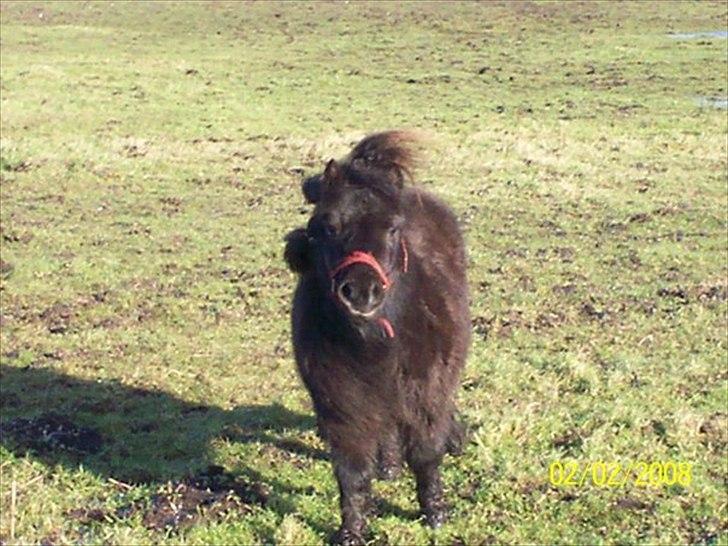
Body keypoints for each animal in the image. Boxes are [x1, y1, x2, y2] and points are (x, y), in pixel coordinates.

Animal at [282, 130, 470, 540]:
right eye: (328, 226)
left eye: (393, 228)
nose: (361, 292)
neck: (372, 342)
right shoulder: (343, 405)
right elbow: (352, 473)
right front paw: (351, 531)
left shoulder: (425, 393)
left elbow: (426, 455)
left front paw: (435, 513)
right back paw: (389, 466)